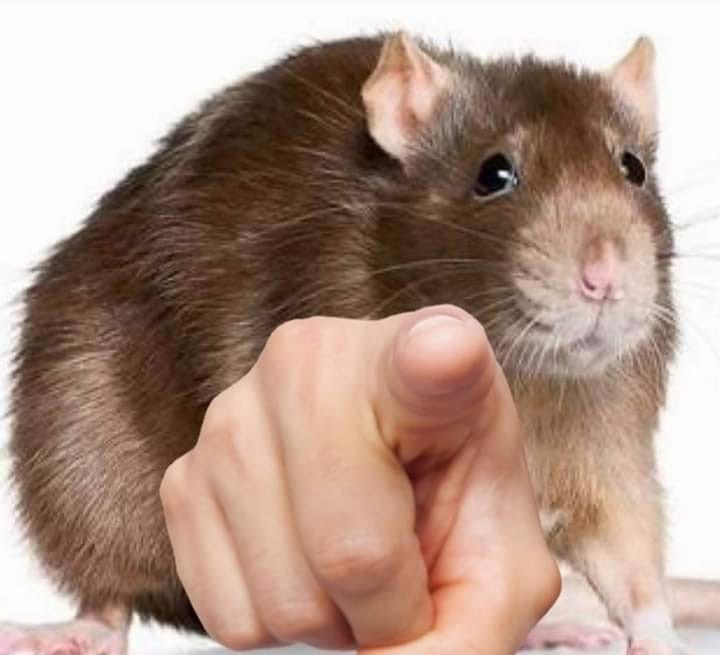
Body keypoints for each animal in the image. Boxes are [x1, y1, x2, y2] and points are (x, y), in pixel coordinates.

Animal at [3, 32, 718, 655]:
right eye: (494, 174)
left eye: (632, 168)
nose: (605, 277)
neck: (527, 379)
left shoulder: (606, 433)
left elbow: (628, 546)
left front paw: (658, 636)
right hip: (79, 459)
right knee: (107, 584)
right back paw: (82, 627)